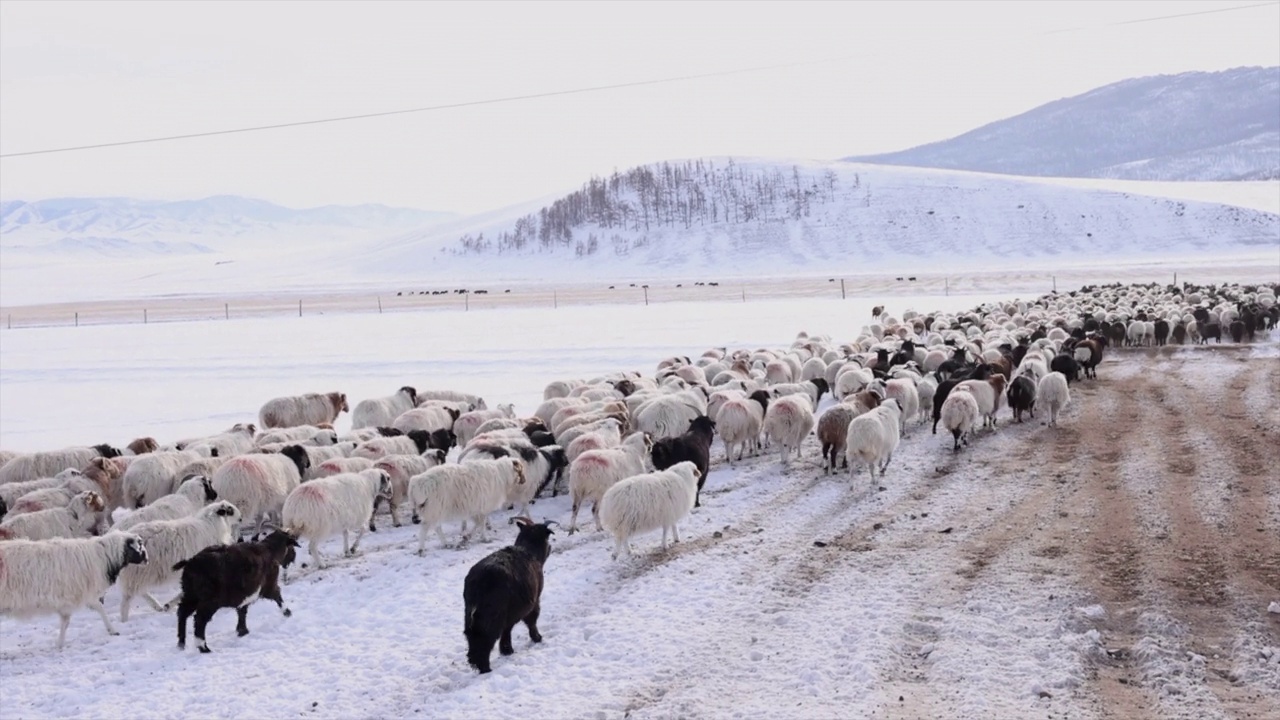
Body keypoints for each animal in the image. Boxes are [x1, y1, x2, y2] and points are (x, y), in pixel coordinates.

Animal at [0, 530, 148, 648]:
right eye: (139, 545)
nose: (147, 560)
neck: (101, 557)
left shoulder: (81, 595)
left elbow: (97, 609)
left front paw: (112, 630)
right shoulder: (73, 596)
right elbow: (67, 622)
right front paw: (60, 644)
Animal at [465, 512, 555, 671]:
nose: (550, 547)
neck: (528, 550)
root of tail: (477, 582)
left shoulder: (512, 611)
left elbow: (508, 628)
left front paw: (507, 650)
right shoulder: (534, 600)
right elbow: (532, 619)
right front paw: (537, 638)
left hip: (471, 614)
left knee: (472, 635)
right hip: (492, 615)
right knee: (485, 637)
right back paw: (485, 668)